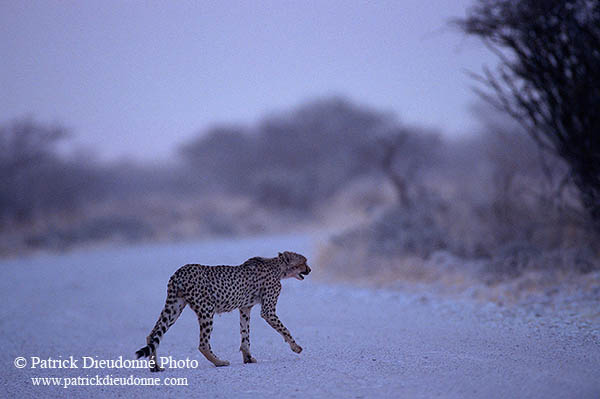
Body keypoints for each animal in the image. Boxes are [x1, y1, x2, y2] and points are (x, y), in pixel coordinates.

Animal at [135, 250, 312, 372]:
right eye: (303, 262)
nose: (310, 270)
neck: (278, 267)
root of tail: (180, 272)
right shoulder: (267, 310)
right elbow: (284, 329)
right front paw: (296, 347)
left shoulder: (245, 308)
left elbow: (245, 334)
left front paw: (248, 358)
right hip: (206, 309)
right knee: (203, 344)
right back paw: (219, 362)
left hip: (174, 307)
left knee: (153, 335)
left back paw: (155, 367)